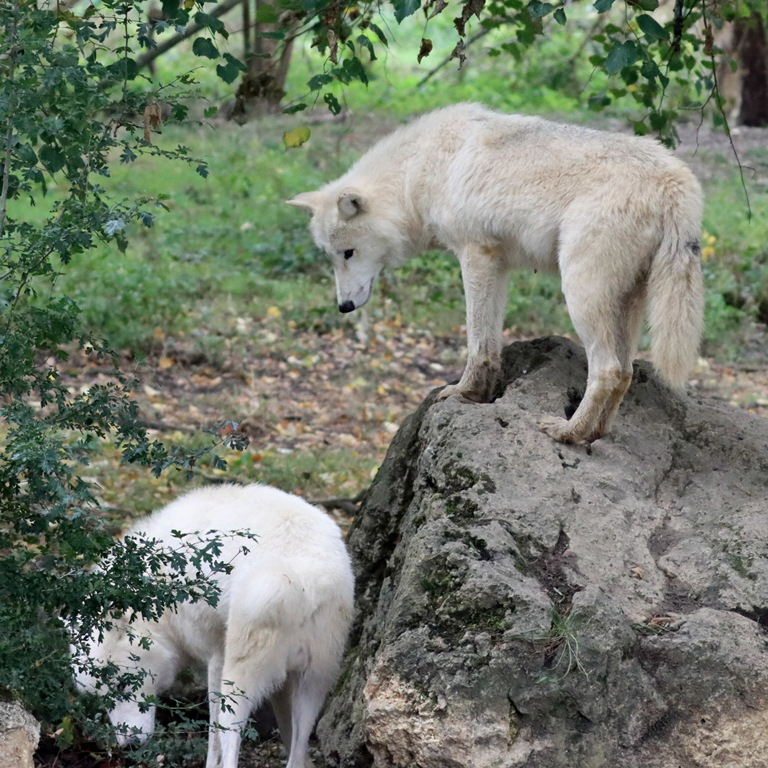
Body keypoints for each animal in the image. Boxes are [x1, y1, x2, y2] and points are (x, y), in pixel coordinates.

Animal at [74, 483, 354, 768]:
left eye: (122, 685)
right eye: (102, 698)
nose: (128, 746)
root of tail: (303, 581)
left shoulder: (215, 660)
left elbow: (213, 736)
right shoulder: (283, 687)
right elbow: (289, 738)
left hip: (238, 685)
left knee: (230, 744)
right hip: (314, 683)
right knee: (297, 750)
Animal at [287, 103, 704, 443]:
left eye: (348, 253)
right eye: (331, 258)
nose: (343, 307)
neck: (418, 173)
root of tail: (676, 182)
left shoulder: (476, 257)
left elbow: (477, 341)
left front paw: (464, 394)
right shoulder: (499, 267)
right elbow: (490, 342)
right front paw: (480, 394)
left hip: (581, 295)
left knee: (609, 370)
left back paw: (569, 433)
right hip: (627, 302)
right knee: (627, 373)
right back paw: (595, 434)